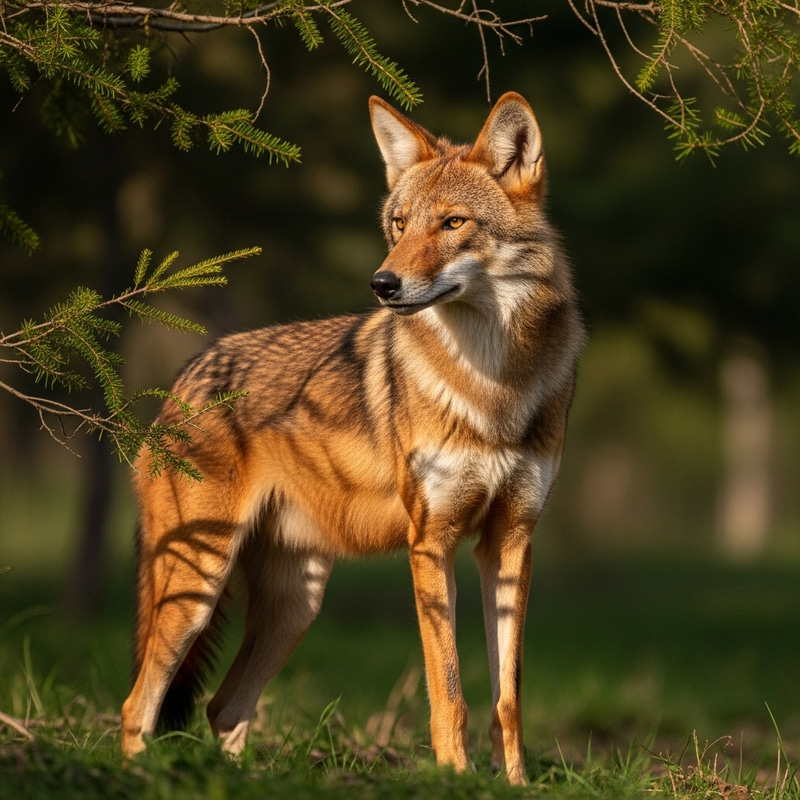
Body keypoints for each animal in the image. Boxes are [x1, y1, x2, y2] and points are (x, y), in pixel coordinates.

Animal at [120, 92, 583, 785]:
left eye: (452, 223)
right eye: (399, 224)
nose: (382, 284)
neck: (492, 385)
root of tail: (181, 381)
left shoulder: (510, 542)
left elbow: (507, 699)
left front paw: (516, 786)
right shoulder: (431, 544)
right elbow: (449, 693)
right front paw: (454, 782)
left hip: (296, 606)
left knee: (224, 709)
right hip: (196, 587)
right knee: (138, 706)